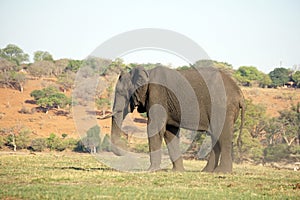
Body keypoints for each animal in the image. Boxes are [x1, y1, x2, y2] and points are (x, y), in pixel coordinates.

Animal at [109, 64, 245, 173]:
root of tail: (240, 94)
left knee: (223, 136)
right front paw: (177, 171)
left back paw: (221, 172)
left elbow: (154, 128)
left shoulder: (158, 94)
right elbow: (170, 132)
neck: (147, 72)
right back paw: (207, 171)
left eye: (121, 92)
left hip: (222, 107)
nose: (125, 147)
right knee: (215, 136)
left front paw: (151, 171)